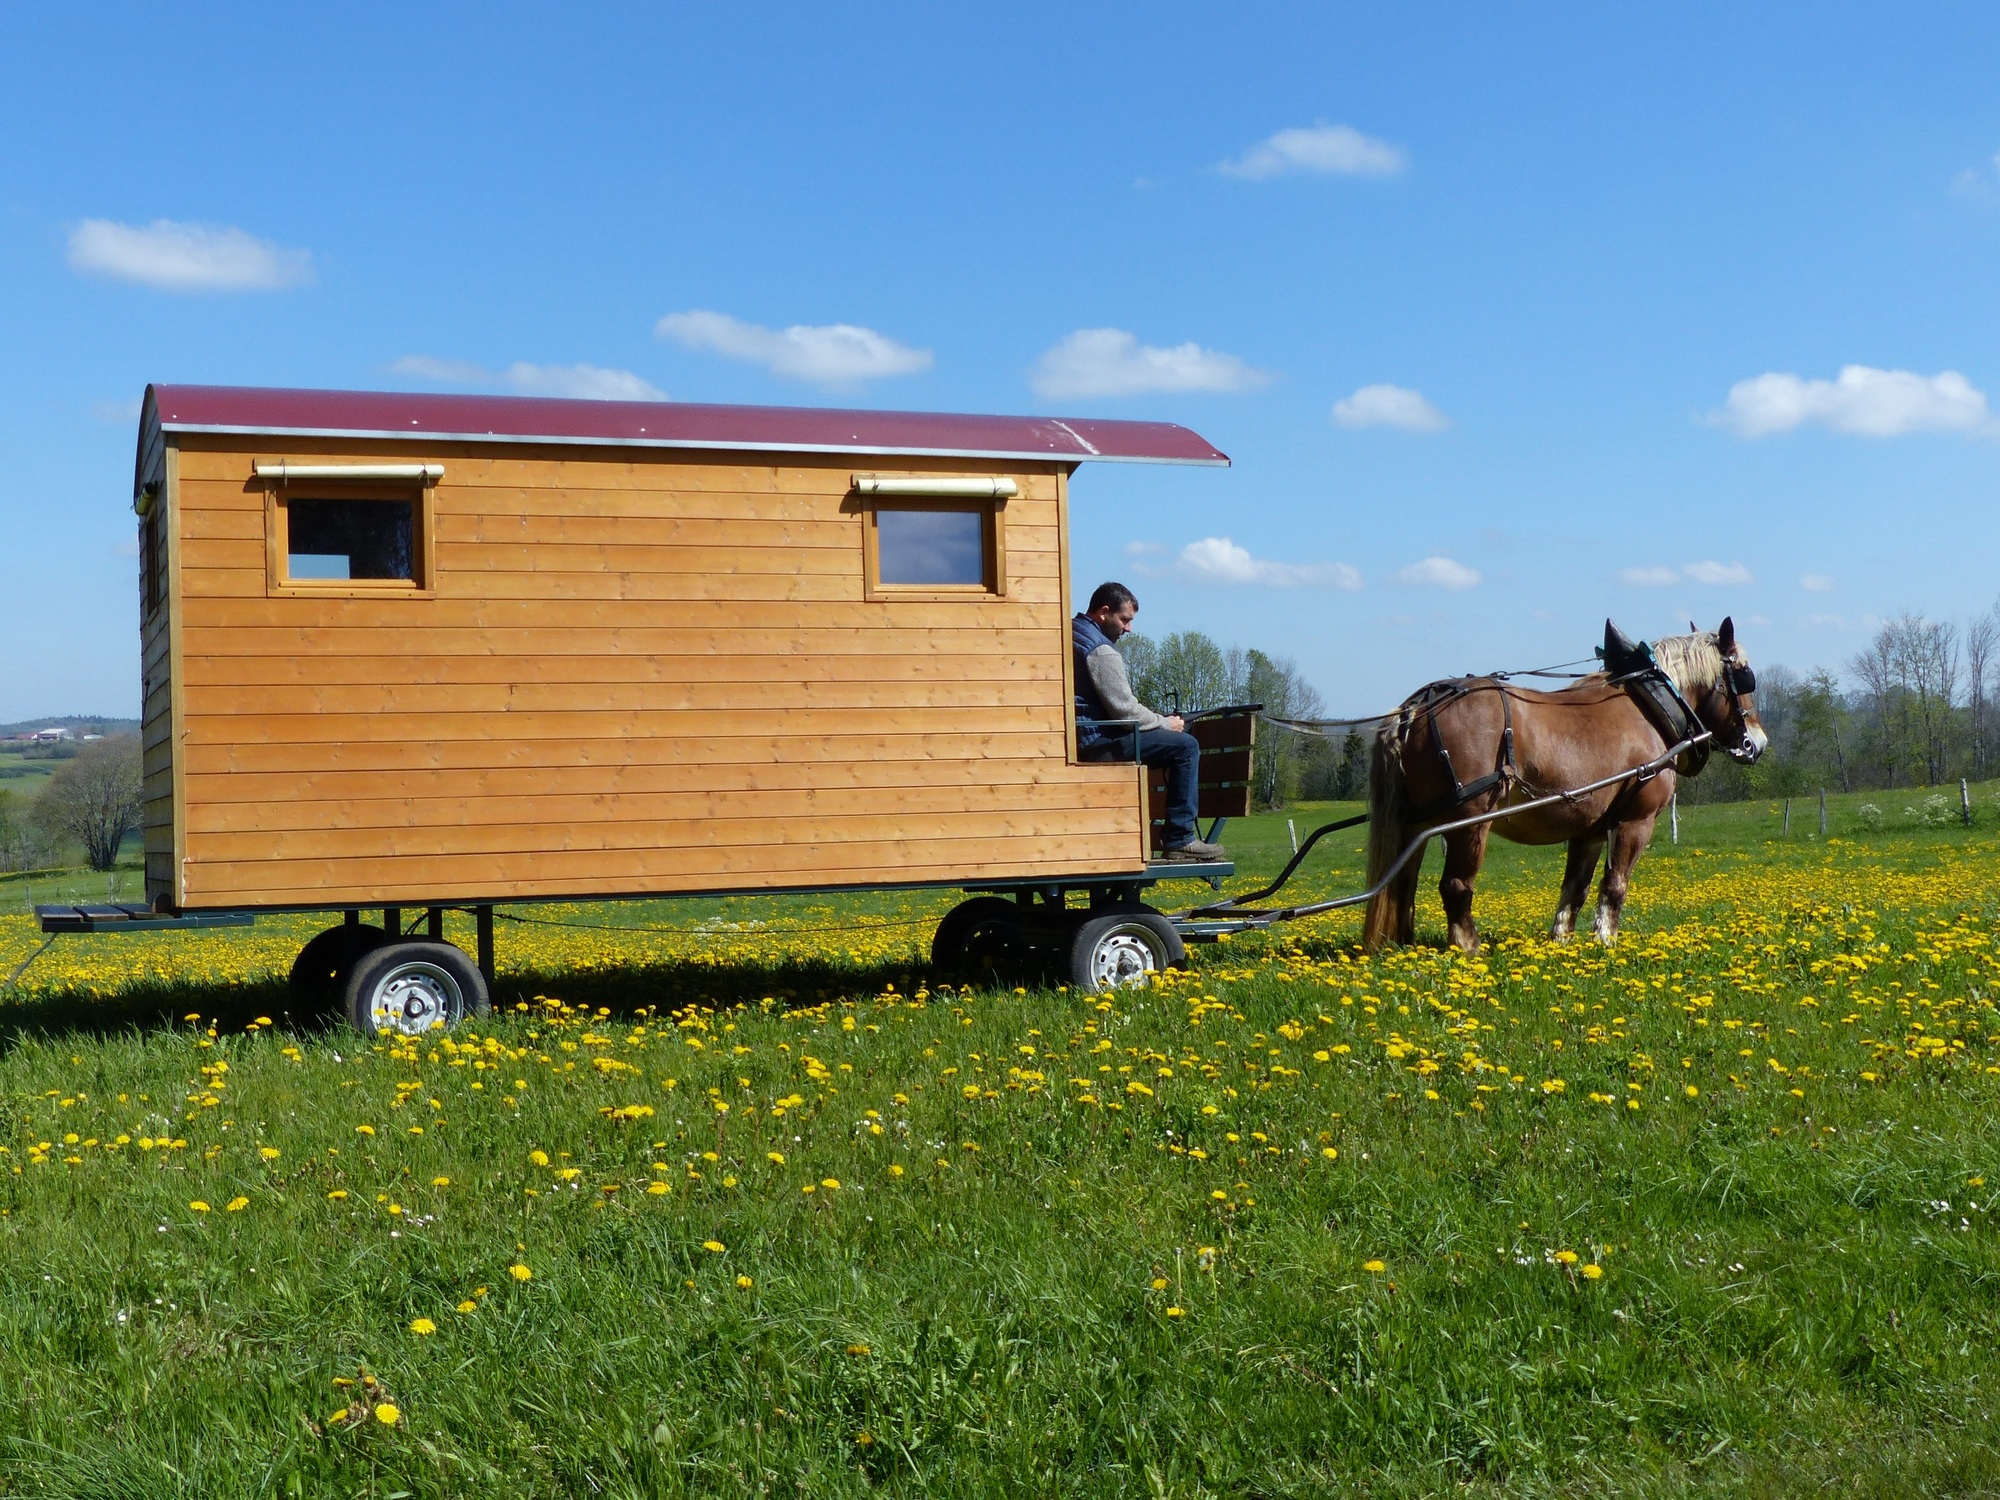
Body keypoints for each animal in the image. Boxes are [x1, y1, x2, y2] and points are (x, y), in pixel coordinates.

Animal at [1360, 620, 1768, 952]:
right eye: (1745, 677)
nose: (1757, 744)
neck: (1649, 707)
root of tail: (1418, 707)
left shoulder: (1589, 830)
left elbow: (1576, 887)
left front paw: (1563, 940)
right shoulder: (1635, 820)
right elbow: (1614, 884)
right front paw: (1606, 939)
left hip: (1416, 824)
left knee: (1402, 885)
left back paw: (1404, 944)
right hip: (1469, 825)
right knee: (1455, 885)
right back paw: (1468, 946)